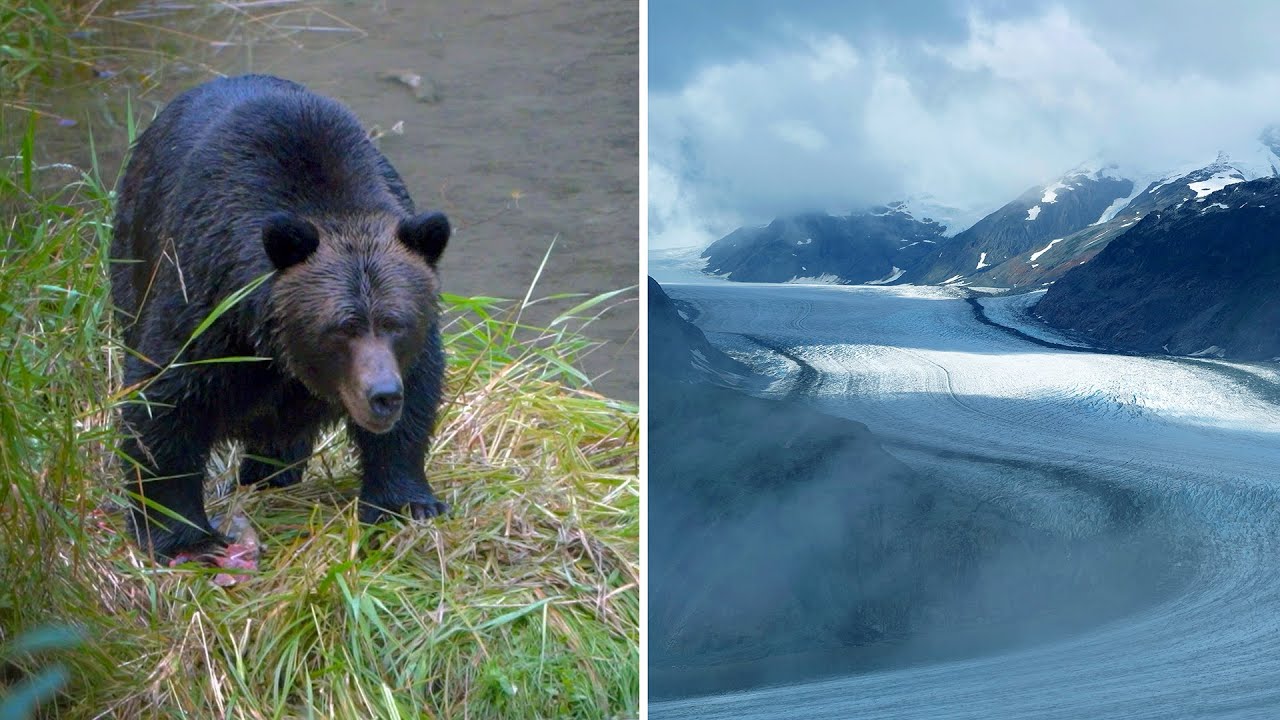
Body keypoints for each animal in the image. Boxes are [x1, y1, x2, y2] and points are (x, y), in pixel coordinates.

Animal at [110, 74, 453, 565]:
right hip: (133, 251)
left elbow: (415, 405)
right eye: (343, 327)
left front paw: (406, 501)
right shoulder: (206, 302)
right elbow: (165, 404)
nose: (383, 395)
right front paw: (186, 537)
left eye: (396, 323)